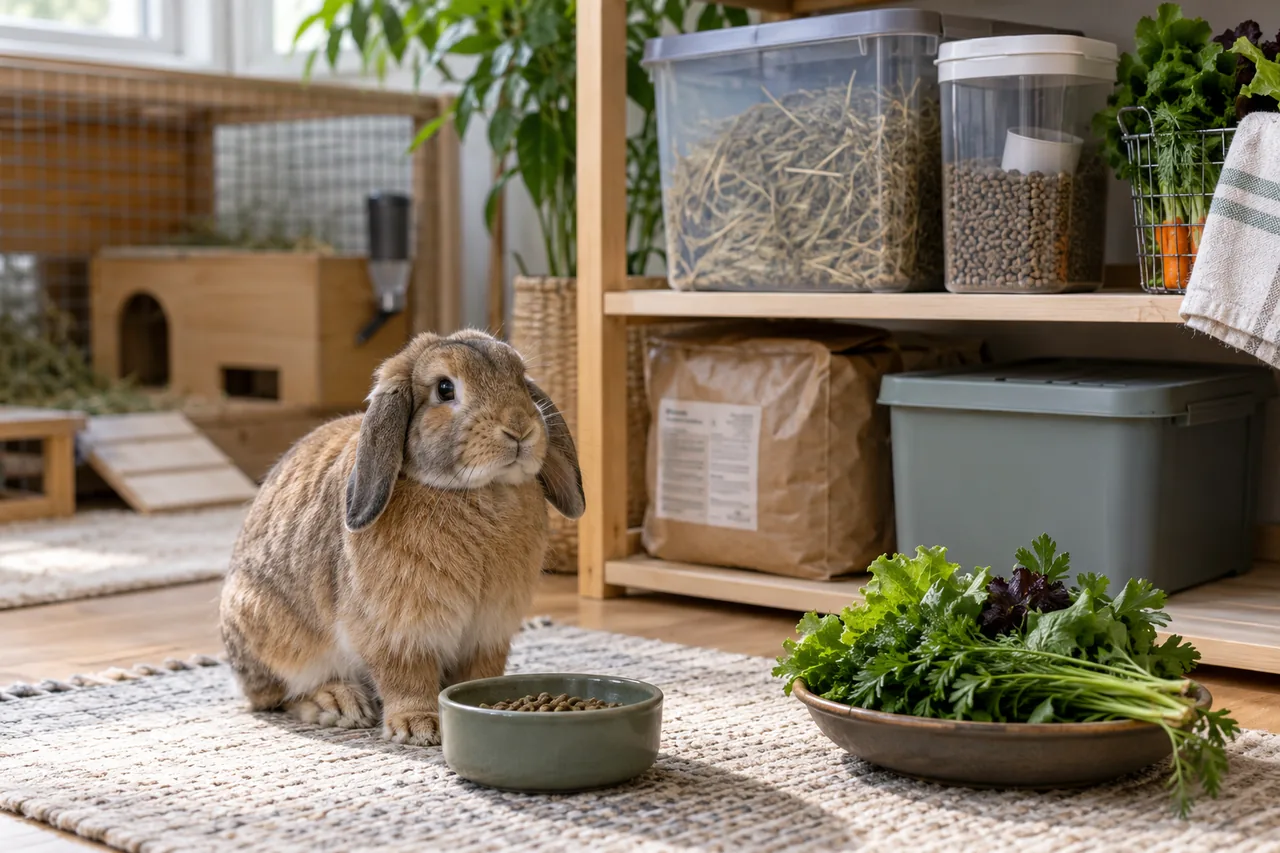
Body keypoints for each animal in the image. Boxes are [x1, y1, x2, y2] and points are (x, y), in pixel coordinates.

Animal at [219, 329, 584, 746]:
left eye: (521, 379)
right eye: (445, 389)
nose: (520, 428)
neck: (476, 490)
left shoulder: (488, 632)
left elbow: (478, 673)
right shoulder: (397, 631)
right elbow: (405, 676)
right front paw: (417, 727)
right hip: (272, 635)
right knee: (278, 696)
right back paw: (338, 704)